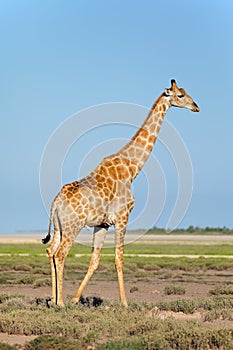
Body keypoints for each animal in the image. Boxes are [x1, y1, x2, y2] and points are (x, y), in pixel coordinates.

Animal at [41, 79, 198, 306]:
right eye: (180, 95)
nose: (196, 106)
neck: (132, 168)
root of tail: (56, 203)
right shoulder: (123, 216)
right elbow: (119, 258)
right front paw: (125, 303)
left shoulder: (102, 224)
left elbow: (95, 260)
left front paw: (76, 299)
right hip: (73, 226)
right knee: (60, 254)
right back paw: (60, 302)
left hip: (59, 226)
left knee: (51, 250)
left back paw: (53, 300)